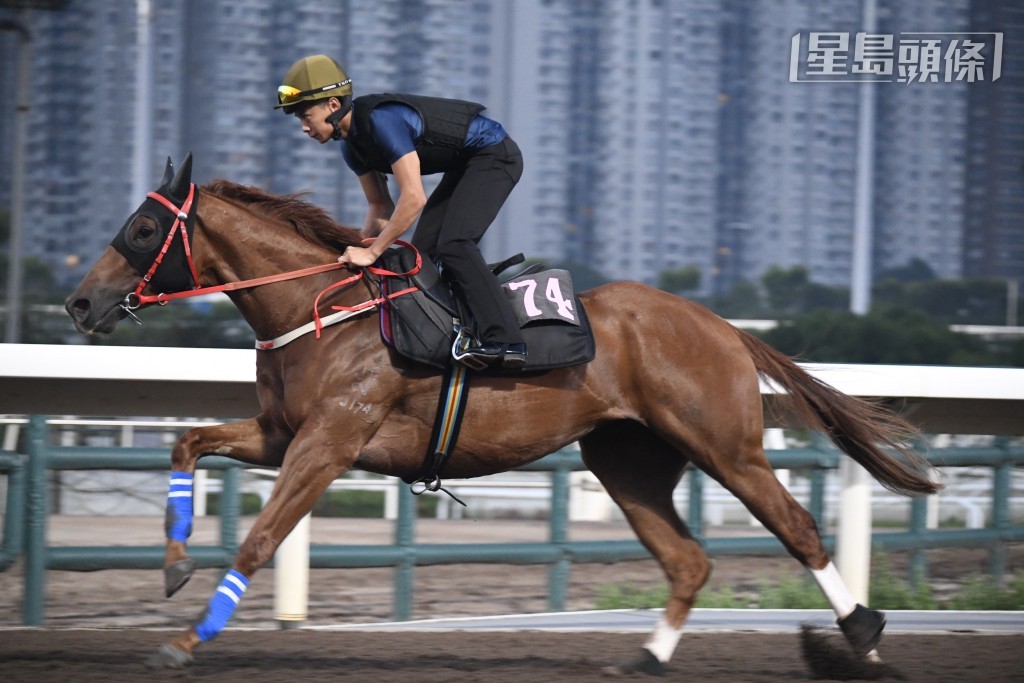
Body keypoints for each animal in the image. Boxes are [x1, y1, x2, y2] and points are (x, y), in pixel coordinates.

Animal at [68, 157, 937, 675]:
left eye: (143, 227)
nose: (80, 302)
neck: (324, 307)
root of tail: (724, 327)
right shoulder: (283, 432)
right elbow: (186, 442)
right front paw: (174, 564)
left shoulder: (330, 439)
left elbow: (261, 535)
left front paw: (186, 640)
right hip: (626, 459)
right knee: (688, 560)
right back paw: (647, 657)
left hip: (726, 444)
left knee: (798, 527)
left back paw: (863, 635)